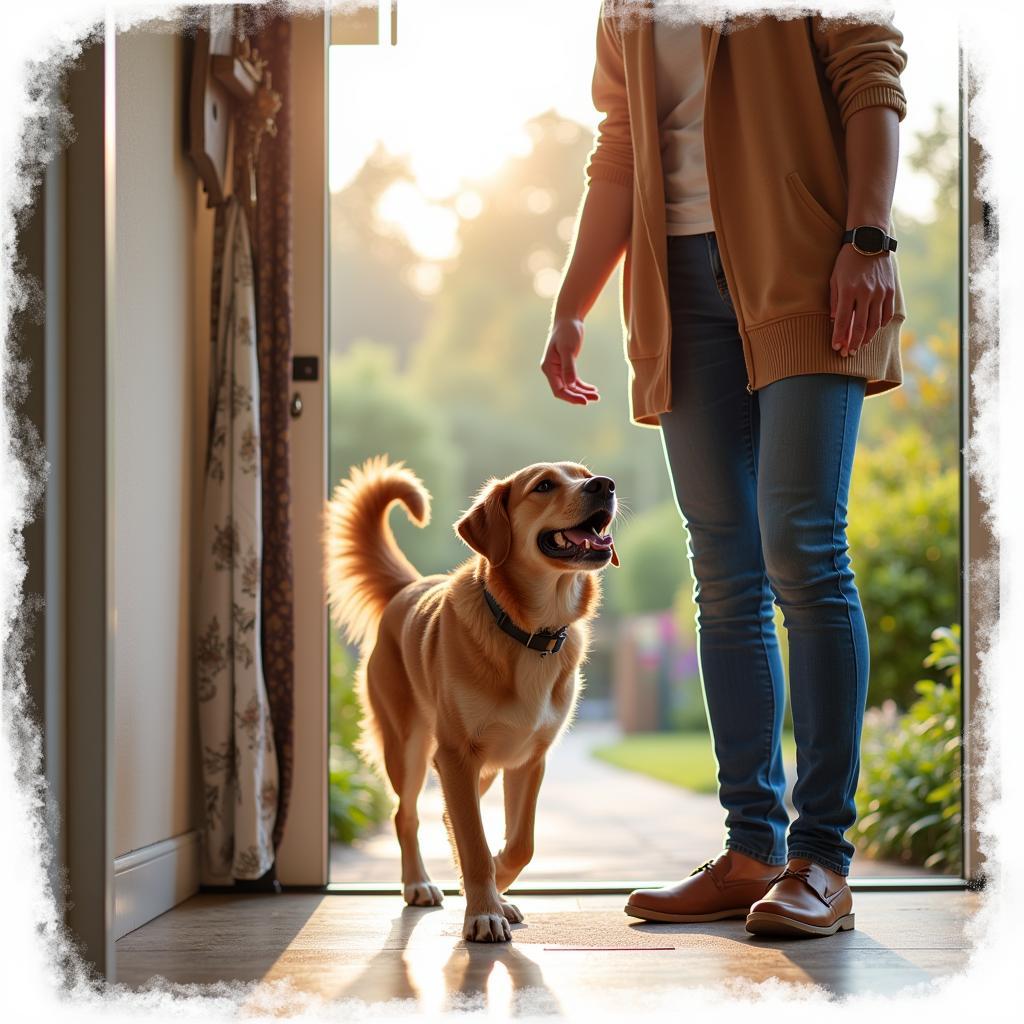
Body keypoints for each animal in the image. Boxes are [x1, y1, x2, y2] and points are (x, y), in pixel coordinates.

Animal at [325, 458, 614, 942]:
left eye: (584, 473)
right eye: (544, 486)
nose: (605, 485)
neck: (527, 632)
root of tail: (409, 586)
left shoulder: (527, 760)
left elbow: (519, 844)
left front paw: (496, 888)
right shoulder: (456, 755)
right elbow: (474, 843)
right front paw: (483, 912)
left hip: (480, 770)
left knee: (448, 819)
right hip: (411, 748)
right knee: (406, 816)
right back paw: (418, 884)